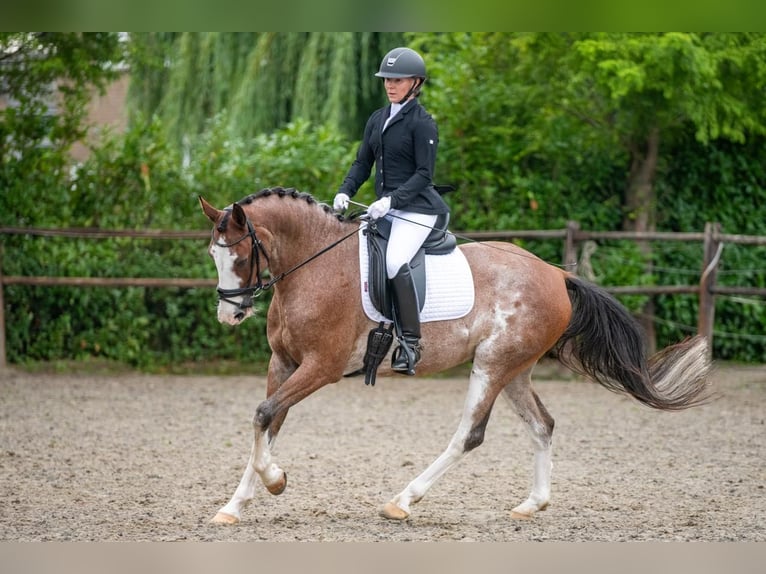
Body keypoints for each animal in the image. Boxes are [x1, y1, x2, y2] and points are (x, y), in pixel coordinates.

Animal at [199, 186, 711, 525]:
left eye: (239, 257)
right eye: (212, 256)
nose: (229, 314)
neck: (316, 266)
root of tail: (556, 273)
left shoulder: (320, 367)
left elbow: (265, 414)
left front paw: (275, 481)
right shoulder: (283, 364)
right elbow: (267, 422)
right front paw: (235, 505)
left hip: (491, 366)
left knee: (470, 434)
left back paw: (403, 500)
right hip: (515, 369)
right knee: (542, 425)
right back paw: (532, 504)